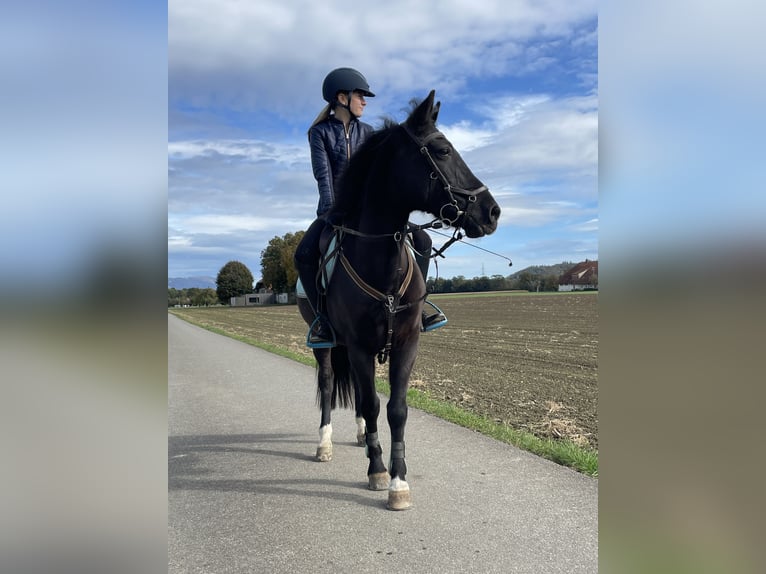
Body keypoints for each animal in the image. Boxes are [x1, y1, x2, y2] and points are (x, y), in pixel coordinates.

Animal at [296, 91, 500, 512]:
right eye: (442, 150)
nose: (492, 212)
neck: (380, 262)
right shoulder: (358, 346)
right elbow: (374, 404)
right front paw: (378, 471)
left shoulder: (407, 342)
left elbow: (395, 409)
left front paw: (398, 479)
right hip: (326, 343)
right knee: (329, 383)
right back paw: (325, 443)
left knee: (359, 396)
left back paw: (361, 435)